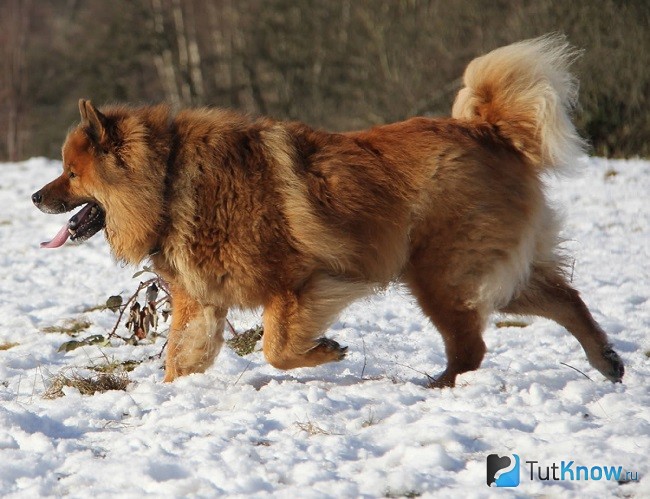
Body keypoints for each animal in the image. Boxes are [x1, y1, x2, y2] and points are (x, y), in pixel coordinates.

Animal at [31, 35, 624, 386]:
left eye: (71, 174)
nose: (36, 196)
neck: (170, 180)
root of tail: (489, 130)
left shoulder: (298, 282)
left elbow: (275, 347)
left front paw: (327, 352)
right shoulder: (201, 302)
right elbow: (182, 358)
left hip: (439, 273)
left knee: (472, 346)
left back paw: (439, 385)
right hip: (478, 271)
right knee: (564, 298)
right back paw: (607, 361)